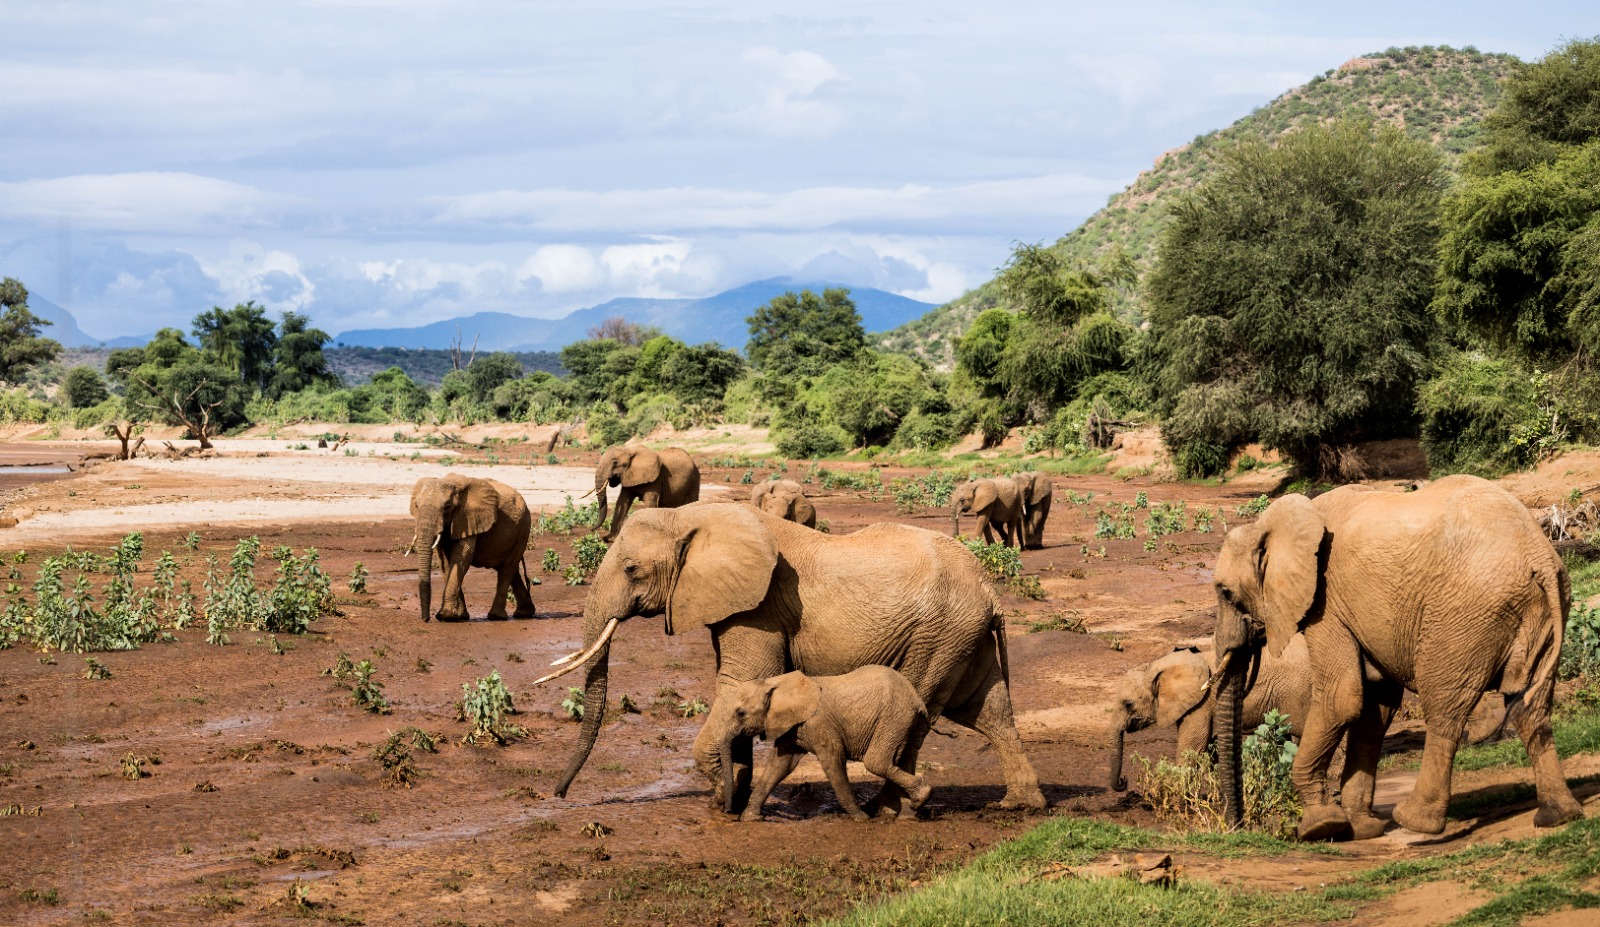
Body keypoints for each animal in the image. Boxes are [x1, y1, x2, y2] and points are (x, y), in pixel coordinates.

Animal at [410, 474, 536, 622]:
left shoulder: (468, 518)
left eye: (447, 507)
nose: (426, 619)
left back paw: (496, 616)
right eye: (417, 505)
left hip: (523, 528)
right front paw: (460, 616)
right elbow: (445, 562)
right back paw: (524, 613)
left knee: (507, 569)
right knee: (512, 569)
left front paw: (446, 616)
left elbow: (462, 556)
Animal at [727, 666, 932, 822]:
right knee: (906, 758)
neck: (776, 682)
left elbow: (833, 761)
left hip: (894, 718)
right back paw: (912, 809)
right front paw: (750, 818)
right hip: (907, 722)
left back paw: (922, 795)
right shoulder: (794, 727)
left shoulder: (818, 723)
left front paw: (861, 818)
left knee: (876, 762)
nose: (730, 812)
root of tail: (917, 699)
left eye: (740, 713)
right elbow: (780, 766)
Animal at [1211, 475, 1583, 840]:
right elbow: (1376, 707)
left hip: (1464, 615)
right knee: (1530, 708)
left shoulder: (1325, 602)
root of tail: (1537, 556)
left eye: (1225, 593)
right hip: (1543, 611)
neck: (1273, 523)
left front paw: (1320, 827)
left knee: (1444, 708)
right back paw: (1557, 816)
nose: (1236, 828)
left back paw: (1415, 821)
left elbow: (1342, 697)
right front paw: (1363, 830)